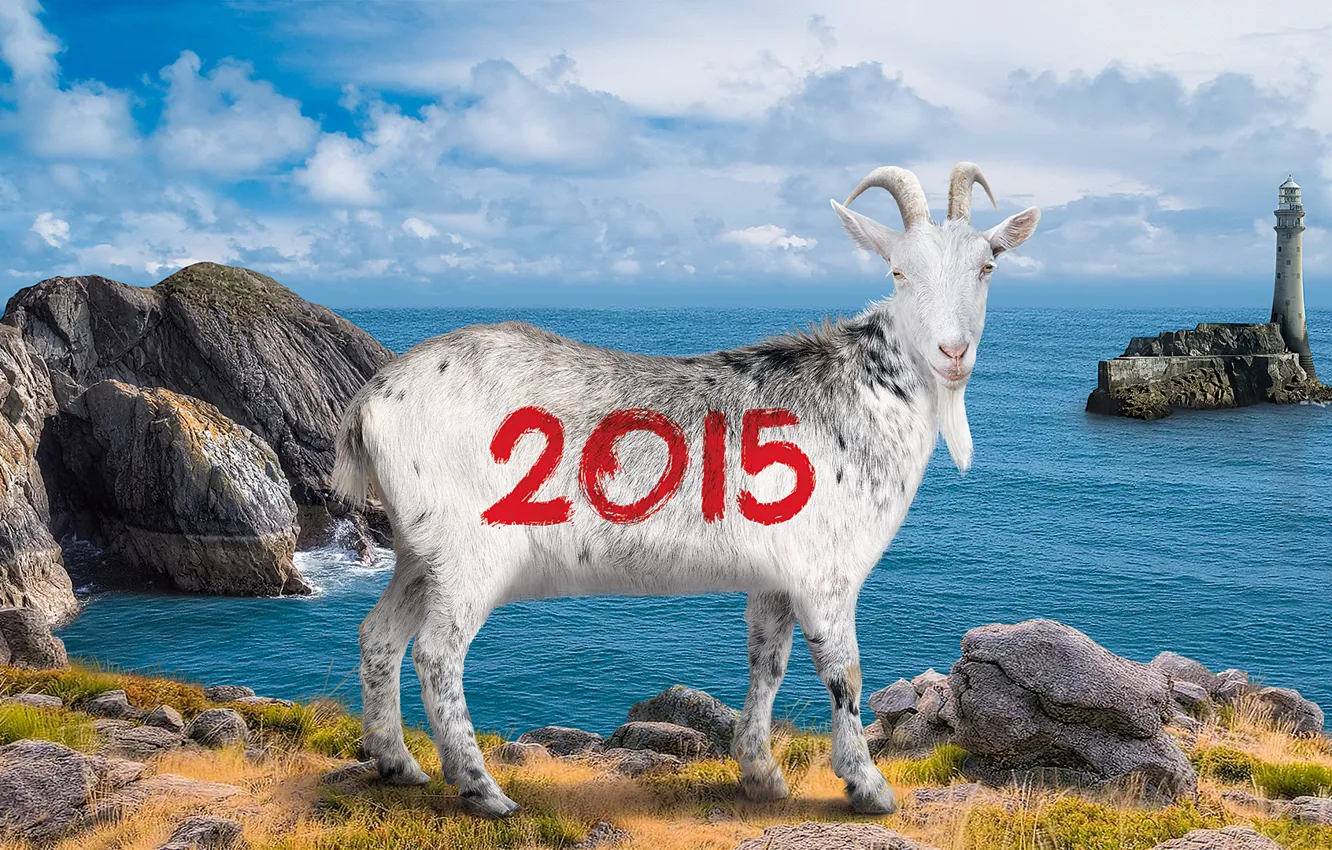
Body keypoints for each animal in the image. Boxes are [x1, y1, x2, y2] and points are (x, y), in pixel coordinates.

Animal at [332, 162, 1039, 818]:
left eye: (987, 265)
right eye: (898, 272)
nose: (952, 352)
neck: (860, 393)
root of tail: (371, 401)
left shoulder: (775, 577)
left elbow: (767, 661)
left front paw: (761, 776)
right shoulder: (826, 573)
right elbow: (845, 675)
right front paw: (869, 788)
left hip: (416, 549)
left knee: (378, 635)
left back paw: (398, 765)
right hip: (469, 553)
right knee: (437, 652)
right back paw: (483, 791)